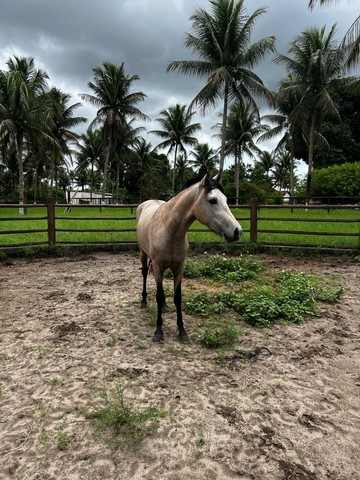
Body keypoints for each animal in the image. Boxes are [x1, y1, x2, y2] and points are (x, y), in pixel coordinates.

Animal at [136, 171, 243, 344]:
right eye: (212, 200)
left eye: (226, 200)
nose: (237, 231)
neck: (169, 230)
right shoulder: (158, 266)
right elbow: (159, 295)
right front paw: (158, 331)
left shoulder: (179, 267)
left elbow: (177, 297)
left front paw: (182, 331)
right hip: (143, 254)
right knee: (145, 274)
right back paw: (144, 301)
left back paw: (164, 306)